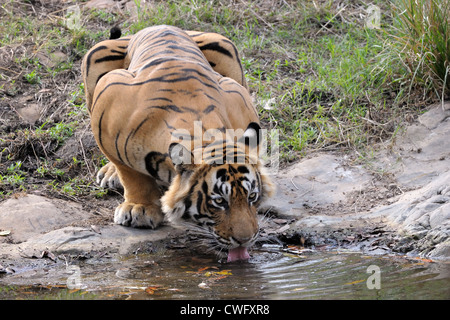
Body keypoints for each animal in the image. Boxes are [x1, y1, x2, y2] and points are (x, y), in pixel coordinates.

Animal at [82, 24, 276, 260]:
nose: (245, 240)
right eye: (219, 201)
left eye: (252, 197)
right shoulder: (108, 95)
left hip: (225, 46)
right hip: (96, 54)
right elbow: (130, 174)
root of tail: (157, 25)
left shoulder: (237, 93)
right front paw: (138, 208)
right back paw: (111, 175)